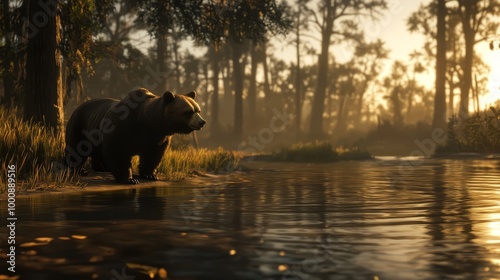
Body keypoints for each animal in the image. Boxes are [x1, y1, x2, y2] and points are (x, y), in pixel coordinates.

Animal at [64, 87, 205, 184]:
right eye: (188, 112)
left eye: (198, 110)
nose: (202, 122)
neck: (147, 123)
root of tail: (78, 106)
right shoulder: (122, 126)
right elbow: (117, 150)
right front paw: (129, 179)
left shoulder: (158, 137)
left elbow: (153, 155)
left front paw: (150, 175)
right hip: (81, 124)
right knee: (77, 147)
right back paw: (80, 170)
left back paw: (102, 168)